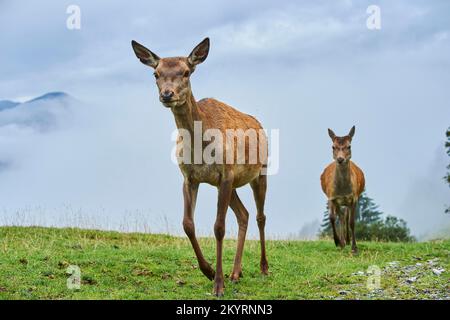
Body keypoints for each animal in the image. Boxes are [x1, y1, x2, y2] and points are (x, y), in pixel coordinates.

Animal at [132, 37, 268, 296]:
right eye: (156, 73)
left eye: (186, 72)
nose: (167, 94)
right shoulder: (190, 178)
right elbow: (187, 224)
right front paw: (208, 271)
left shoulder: (225, 173)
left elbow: (219, 227)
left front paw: (218, 284)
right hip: (231, 184)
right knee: (244, 214)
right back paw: (236, 272)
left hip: (261, 171)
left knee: (260, 216)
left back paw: (264, 267)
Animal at [320, 126, 366, 254]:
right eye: (333, 146)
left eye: (349, 146)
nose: (340, 159)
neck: (342, 190)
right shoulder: (332, 197)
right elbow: (332, 217)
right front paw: (337, 242)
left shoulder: (354, 198)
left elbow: (352, 222)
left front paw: (354, 248)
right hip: (339, 202)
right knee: (341, 216)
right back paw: (343, 242)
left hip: (349, 201)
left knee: (345, 216)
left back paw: (347, 240)